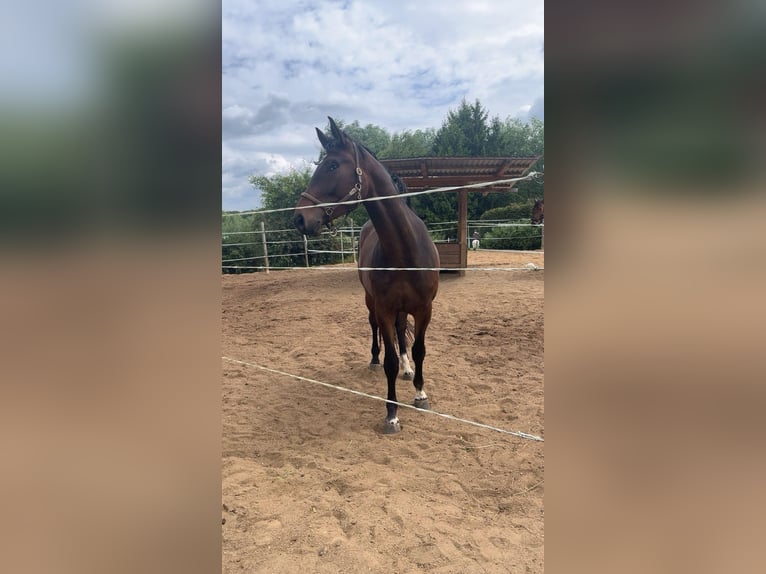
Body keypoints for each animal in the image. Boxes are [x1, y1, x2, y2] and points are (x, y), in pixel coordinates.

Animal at [293, 117, 440, 434]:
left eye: (332, 165)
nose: (298, 218)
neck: (404, 252)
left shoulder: (424, 309)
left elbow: (419, 349)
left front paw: (420, 393)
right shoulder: (384, 308)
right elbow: (389, 361)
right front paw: (392, 415)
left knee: (401, 332)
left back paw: (408, 370)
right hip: (370, 300)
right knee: (375, 330)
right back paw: (374, 359)